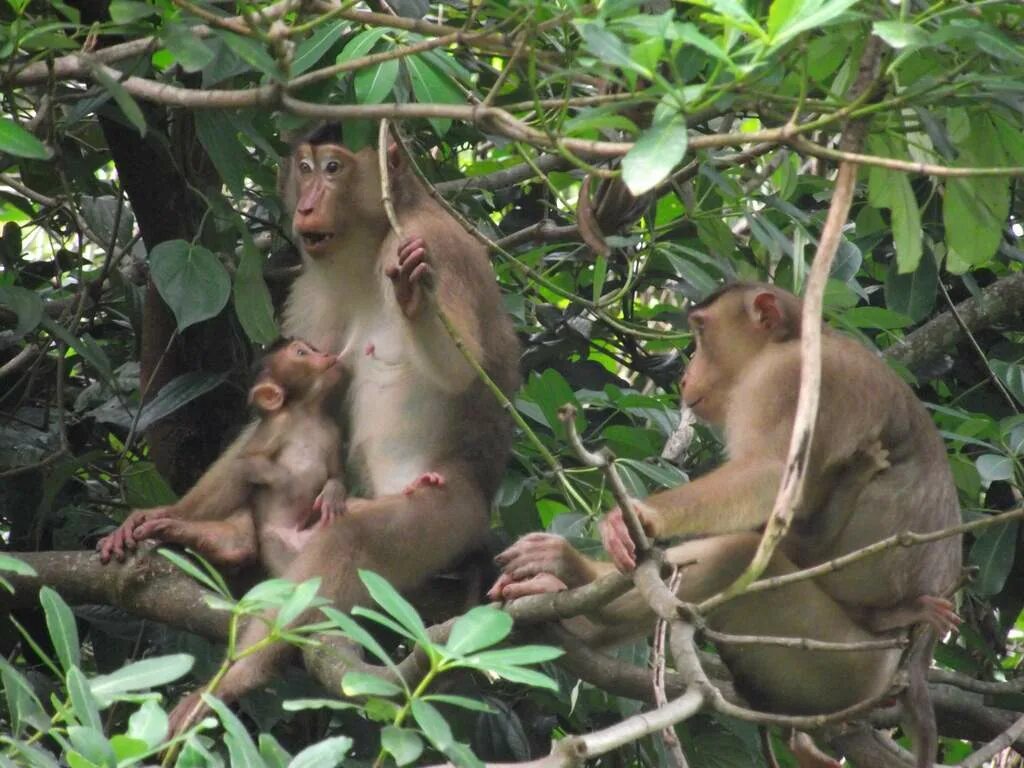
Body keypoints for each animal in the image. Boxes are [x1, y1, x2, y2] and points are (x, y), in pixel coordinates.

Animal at [98, 123, 520, 737]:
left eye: (334, 169)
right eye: (305, 166)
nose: (306, 203)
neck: (368, 248)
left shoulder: (434, 242)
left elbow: (462, 367)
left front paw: (413, 300)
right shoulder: (317, 288)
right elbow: (283, 413)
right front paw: (161, 514)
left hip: (450, 514)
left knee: (352, 538)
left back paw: (241, 673)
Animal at [491, 284, 962, 768]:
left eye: (701, 332)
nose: (684, 378)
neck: (795, 338)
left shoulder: (784, 380)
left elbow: (769, 475)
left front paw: (641, 517)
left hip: (844, 664)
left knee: (734, 558)